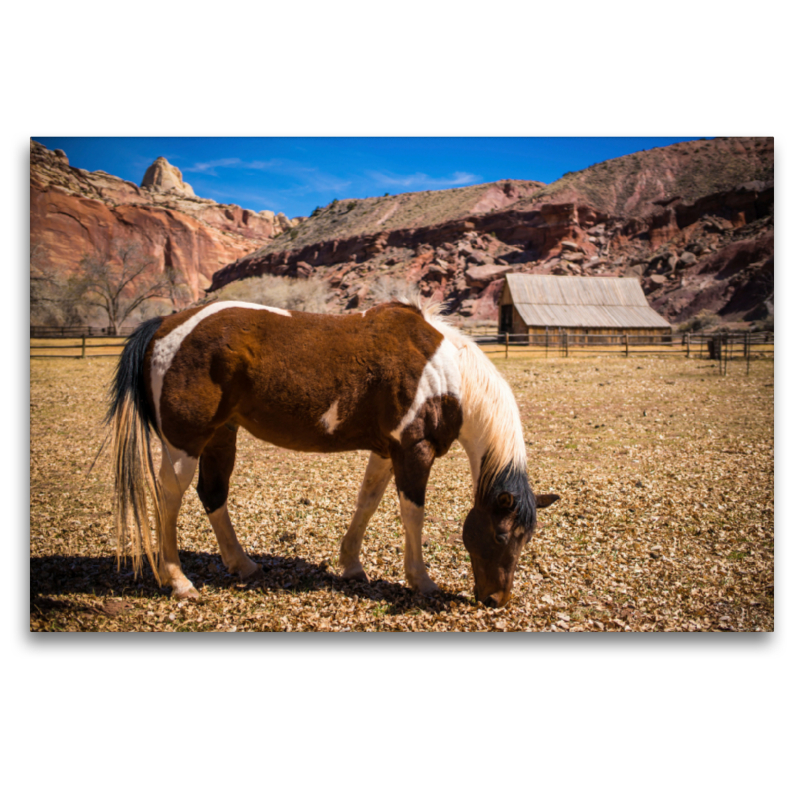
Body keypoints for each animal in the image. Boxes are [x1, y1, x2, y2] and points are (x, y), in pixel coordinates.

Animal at [106, 298, 556, 608]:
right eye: (502, 535)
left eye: (526, 538)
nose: (496, 600)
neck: (448, 373)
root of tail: (166, 324)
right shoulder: (414, 451)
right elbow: (412, 514)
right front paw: (421, 580)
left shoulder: (388, 450)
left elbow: (367, 502)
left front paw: (352, 565)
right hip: (185, 443)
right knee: (169, 497)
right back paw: (178, 580)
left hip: (220, 435)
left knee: (213, 493)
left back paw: (242, 564)